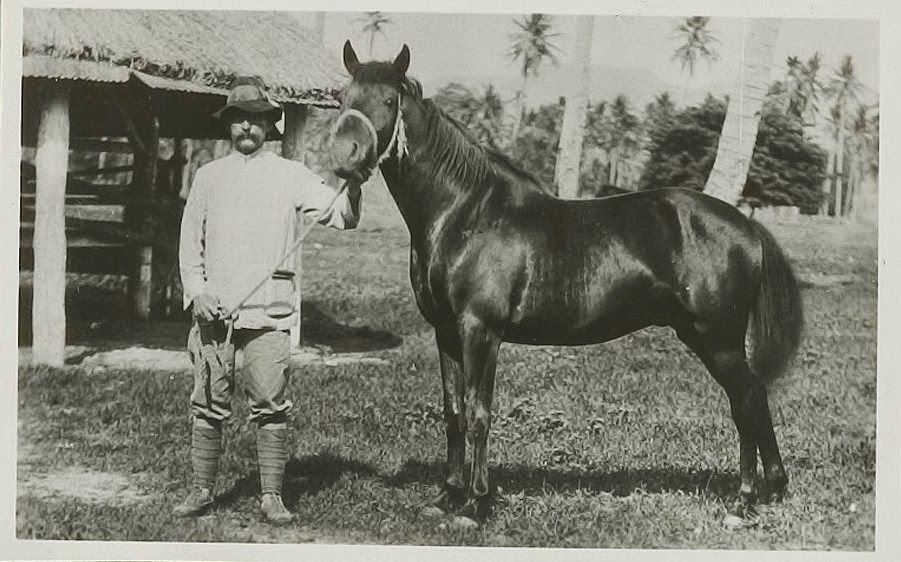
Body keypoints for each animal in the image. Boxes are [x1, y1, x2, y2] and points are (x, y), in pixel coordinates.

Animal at [328, 40, 800, 524]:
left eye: (389, 100)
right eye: (342, 98)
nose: (345, 155)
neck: (466, 212)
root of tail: (745, 223)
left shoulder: (481, 331)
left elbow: (479, 413)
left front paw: (477, 502)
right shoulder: (446, 331)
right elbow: (454, 411)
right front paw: (448, 495)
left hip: (719, 339)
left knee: (747, 400)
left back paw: (745, 498)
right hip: (702, 336)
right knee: (752, 399)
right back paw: (771, 488)